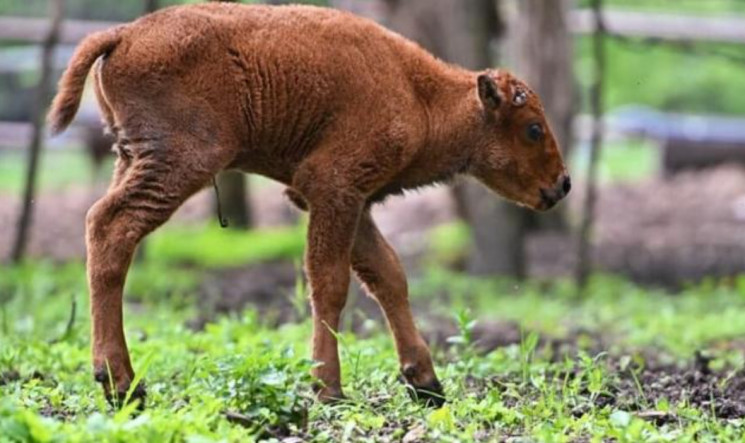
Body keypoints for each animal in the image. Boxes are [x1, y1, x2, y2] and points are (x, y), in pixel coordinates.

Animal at [49, 2, 568, 410]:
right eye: (533, 128)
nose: (562, 185)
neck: (418, 92)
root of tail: (123, 34)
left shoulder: (355, 202)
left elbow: (389, 278)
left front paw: (426, 383)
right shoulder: (331, 189)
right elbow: (330, 283)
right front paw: (328, 389)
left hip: (131, 158)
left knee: (102, 226)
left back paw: (123, 386)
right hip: (180, 163)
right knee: (111, 227)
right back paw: (122, 385)